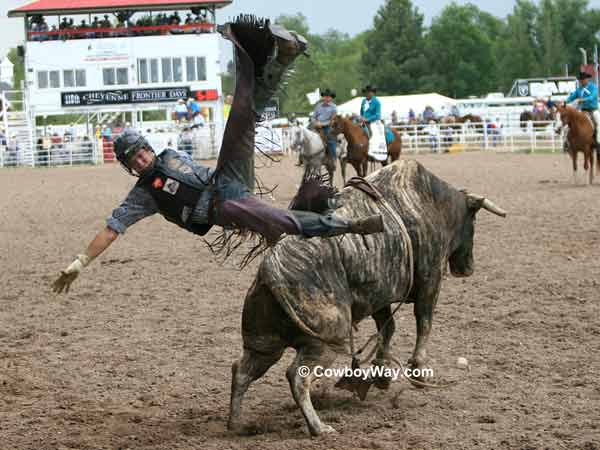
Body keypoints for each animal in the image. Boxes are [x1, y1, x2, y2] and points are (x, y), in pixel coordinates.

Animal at [227, 159, 504, 436]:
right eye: (473, 221)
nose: (468, 268)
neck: (432, 200)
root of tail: (270, 268)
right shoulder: (431, 278)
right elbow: (423, 322)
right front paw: (418, 371)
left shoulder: (378, 295)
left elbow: (387, 328)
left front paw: (382, 374)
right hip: (326, 341)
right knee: (297, 376)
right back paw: (319, 427)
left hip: (264, 342)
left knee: (242, 370)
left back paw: (237, 423)